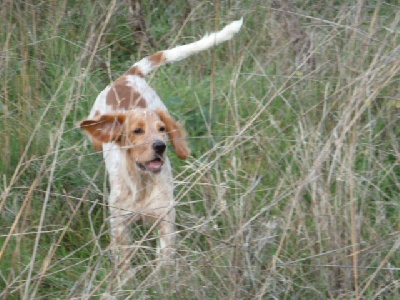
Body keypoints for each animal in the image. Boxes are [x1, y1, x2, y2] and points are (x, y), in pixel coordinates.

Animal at [79, 18, 242, 264]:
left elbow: (164, 264)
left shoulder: (165, 223)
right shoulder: (120, 227)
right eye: (137, 131)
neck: (143, 184)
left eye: (162, 129)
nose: (160, 146)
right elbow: (124, 265)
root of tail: (129, 75)